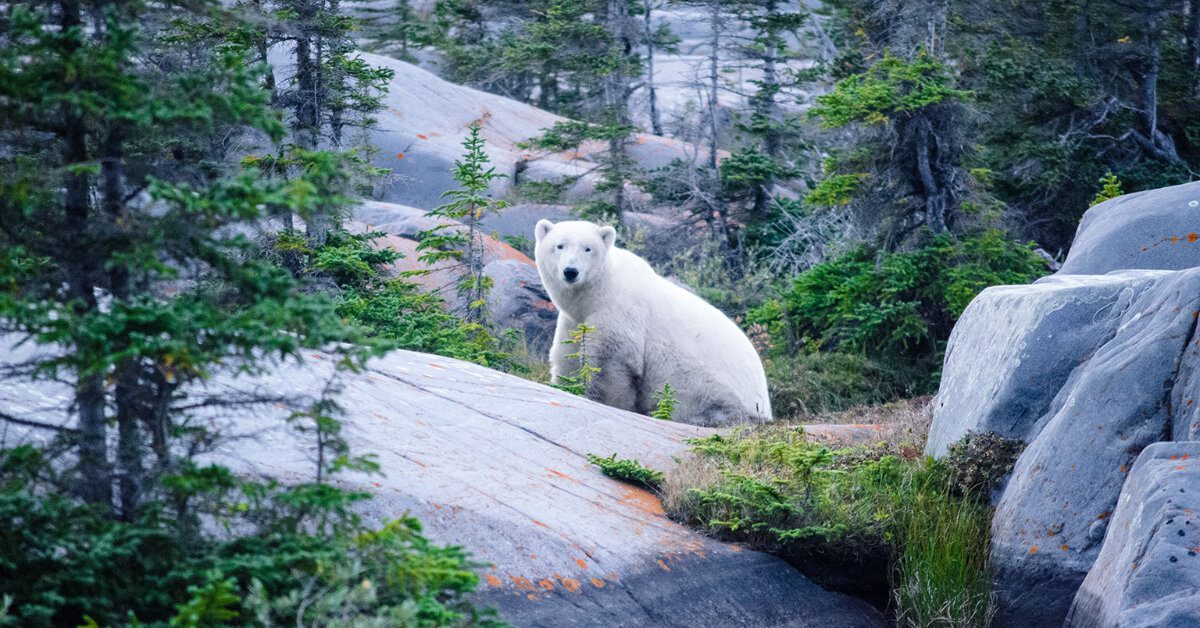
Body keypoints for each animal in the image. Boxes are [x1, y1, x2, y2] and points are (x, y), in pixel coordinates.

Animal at [532, 218, 768, 425]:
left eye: (588, 248)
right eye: (559, 245)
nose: (571, 272)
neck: (598, 292)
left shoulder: (620, 313)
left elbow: (610, 366)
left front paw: (604, 401)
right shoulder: (574, 320)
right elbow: (568, 358)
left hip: (712, 387)